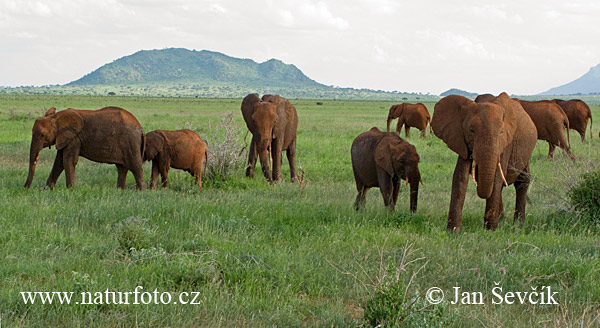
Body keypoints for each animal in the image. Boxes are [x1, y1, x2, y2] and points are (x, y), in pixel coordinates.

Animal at [432, 92, 540, 231]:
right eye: (471, 130)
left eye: (501, 132)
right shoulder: (462, 140)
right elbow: (460, 177)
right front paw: (453, 231)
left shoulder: (505, 144)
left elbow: (497, 178)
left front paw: (490, 231)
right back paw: (502, 221)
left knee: (522, 181)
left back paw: (518, 225)